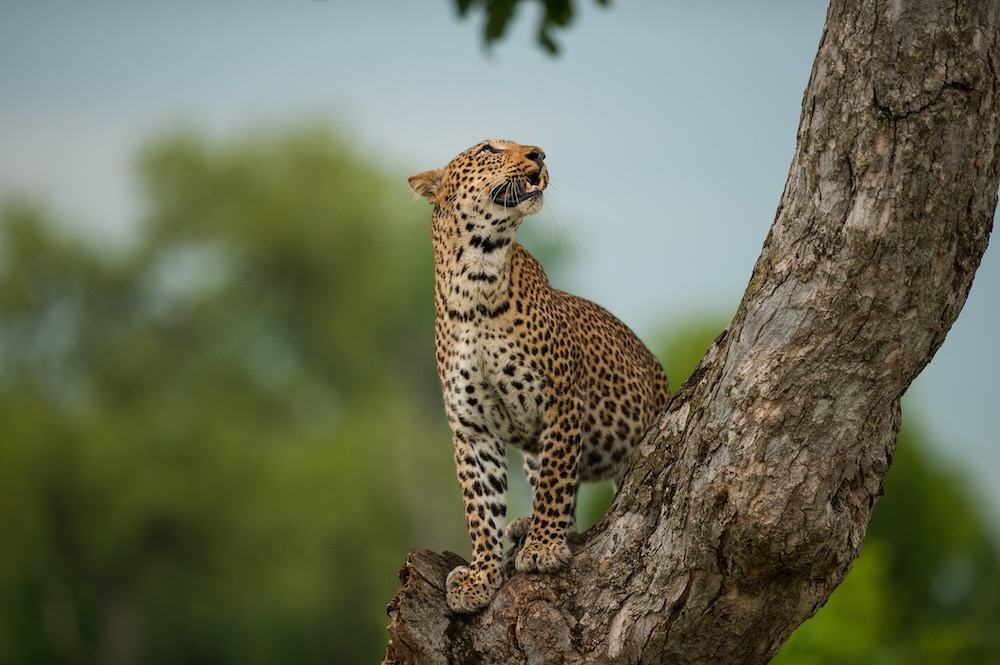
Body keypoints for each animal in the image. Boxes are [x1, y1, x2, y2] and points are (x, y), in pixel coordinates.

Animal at [409, 139, 671, 614]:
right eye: (489, 148)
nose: (540, 154)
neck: (476, 277)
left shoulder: (561, 399)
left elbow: (554, 480)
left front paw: (543, 548)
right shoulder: (471, 428)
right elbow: (480, 506)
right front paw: (480, 575)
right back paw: (523, 525)